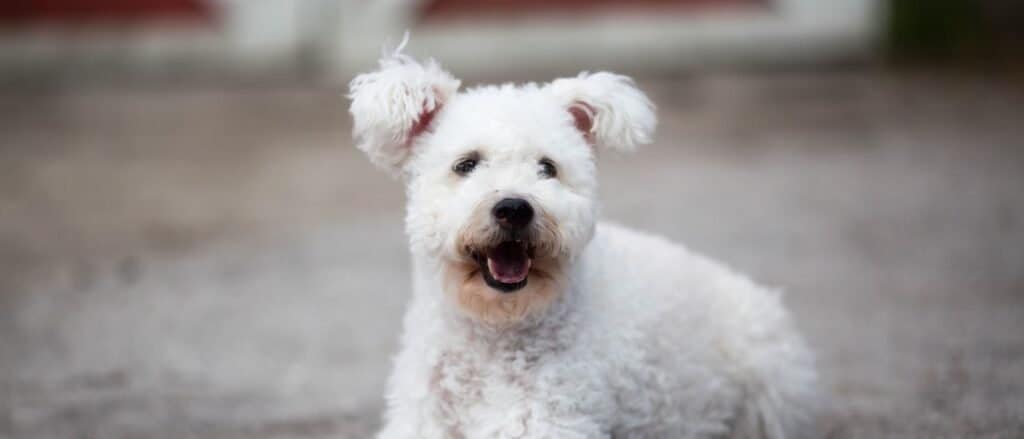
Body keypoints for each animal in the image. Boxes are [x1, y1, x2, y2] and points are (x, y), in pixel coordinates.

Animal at [348, 42, 819, 435]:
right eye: (466, 164)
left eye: (547, 167)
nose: (515, 208)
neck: (497, 331)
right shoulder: (421, 418)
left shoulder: (551, 418)